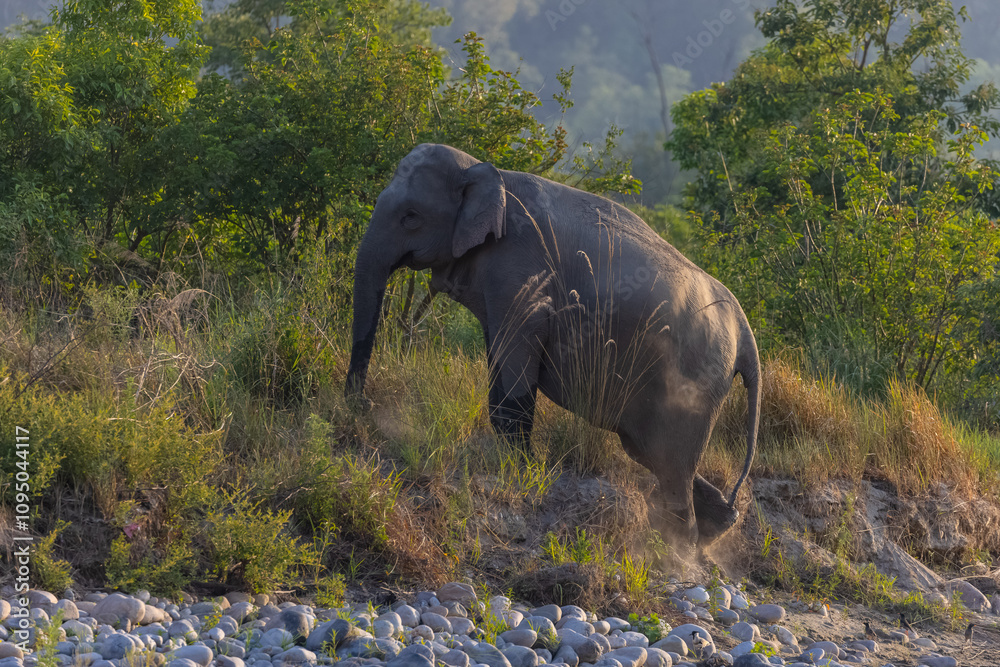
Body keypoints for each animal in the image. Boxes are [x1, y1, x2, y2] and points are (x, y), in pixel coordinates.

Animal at [345, 143, 760, 549]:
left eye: (411, 217)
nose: (363, 406)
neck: (483, 169)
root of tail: (746, 334)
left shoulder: (519, 269)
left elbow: (516, 365)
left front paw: (525, 470)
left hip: (695, 383)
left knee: (671, 465)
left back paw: (680, 550)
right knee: (650, 451)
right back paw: (723, 521)